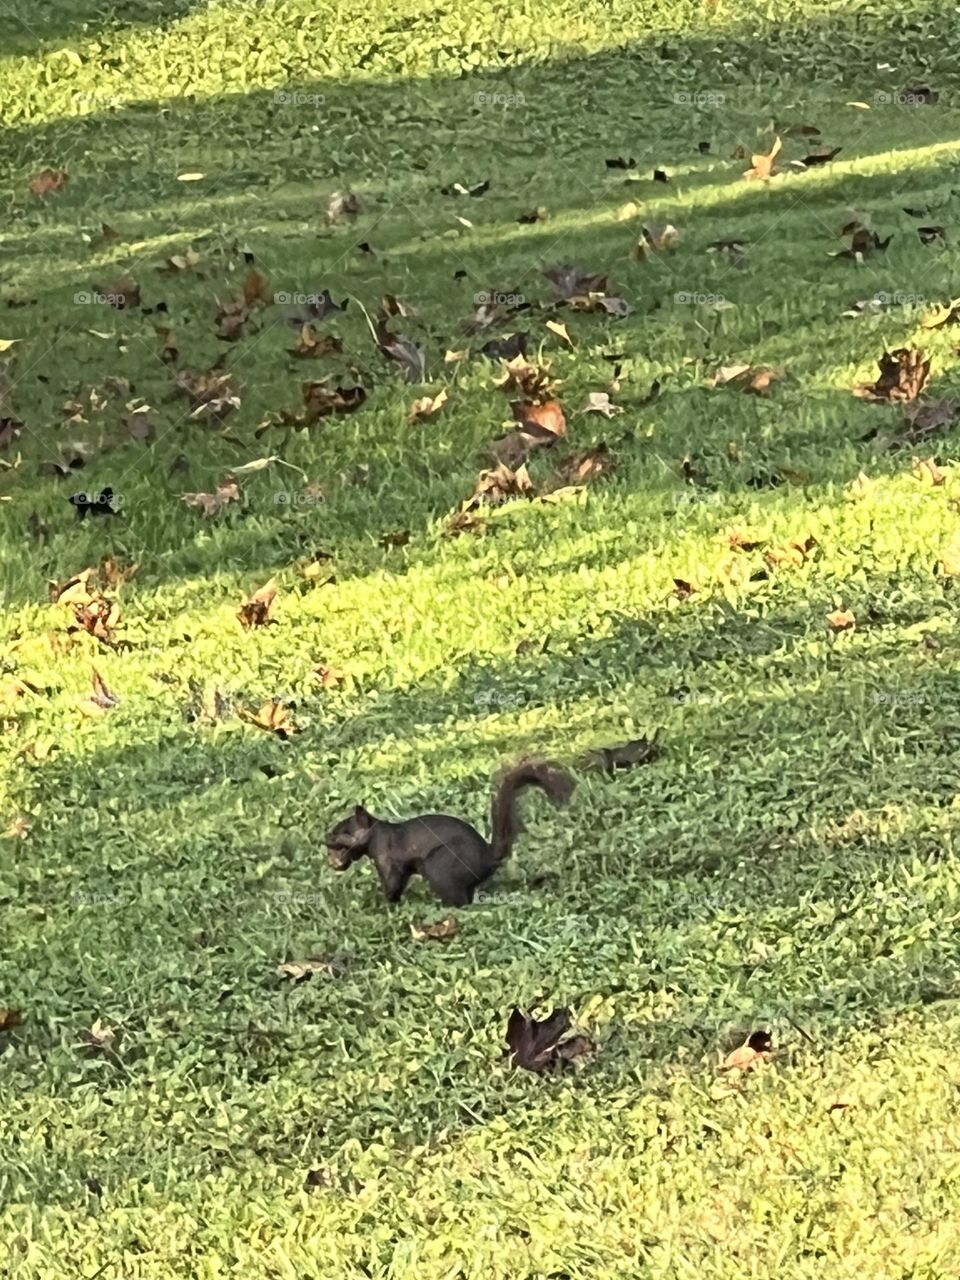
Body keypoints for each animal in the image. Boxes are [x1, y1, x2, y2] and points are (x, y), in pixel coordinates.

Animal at [325, 759, 575, 906]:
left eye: (343, 831)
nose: (326, 839)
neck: (377, 834)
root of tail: (488, 856)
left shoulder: (387, 858)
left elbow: (392, 883)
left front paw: (384, 904)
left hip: (439, 866)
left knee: (460, 901)